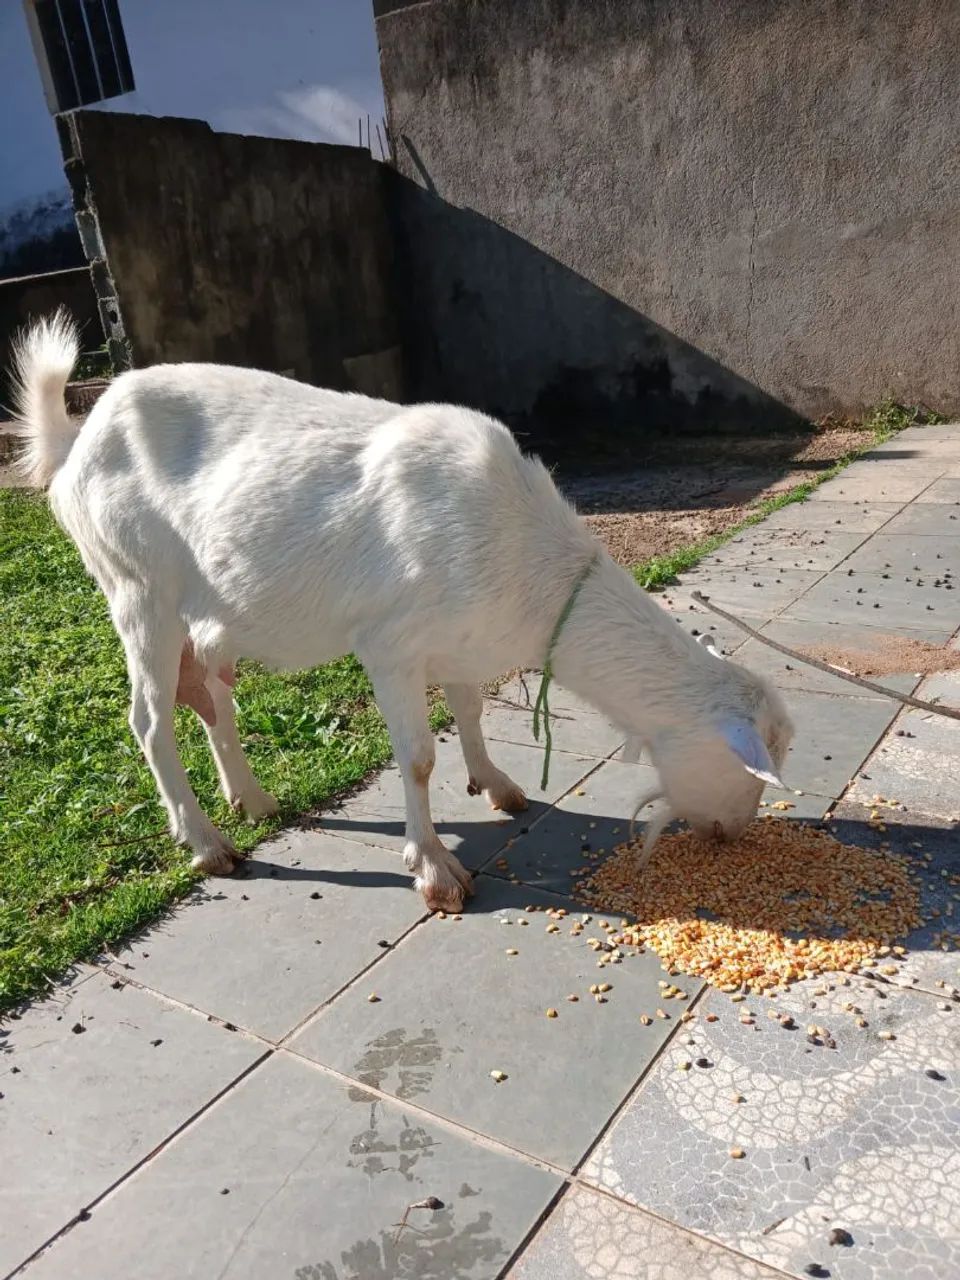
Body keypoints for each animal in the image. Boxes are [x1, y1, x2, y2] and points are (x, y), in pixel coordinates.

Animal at [11, 311, 794, 912]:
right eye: (752, 772)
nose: (733, 834)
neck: (525, 553)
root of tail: (76, 439)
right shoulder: (391, 646)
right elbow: (417, 759)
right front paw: (437, 872)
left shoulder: (460, 640)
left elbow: (471, 711)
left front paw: (498, 786)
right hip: (135, 584)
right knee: (150, 718)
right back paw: (207, 845)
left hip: (207, 612)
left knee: (209, 694)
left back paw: (253, 801)